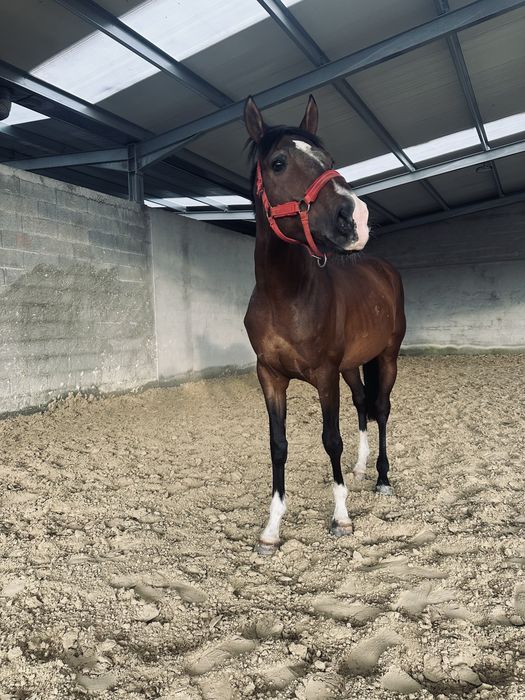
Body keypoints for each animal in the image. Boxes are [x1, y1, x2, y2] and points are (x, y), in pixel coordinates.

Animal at [243, 94, 406, 555]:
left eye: (329, 160)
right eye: (278, 162)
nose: (357, 219)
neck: (285, 298)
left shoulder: (324, 375)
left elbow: (330, 439)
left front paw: (341, 518)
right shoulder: (270, 376)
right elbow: (278, 445)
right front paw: (271, 530)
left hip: (387, 357)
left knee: (381, 408)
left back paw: (382, 478)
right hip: (352, 366)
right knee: (362, 404)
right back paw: (360, 468)